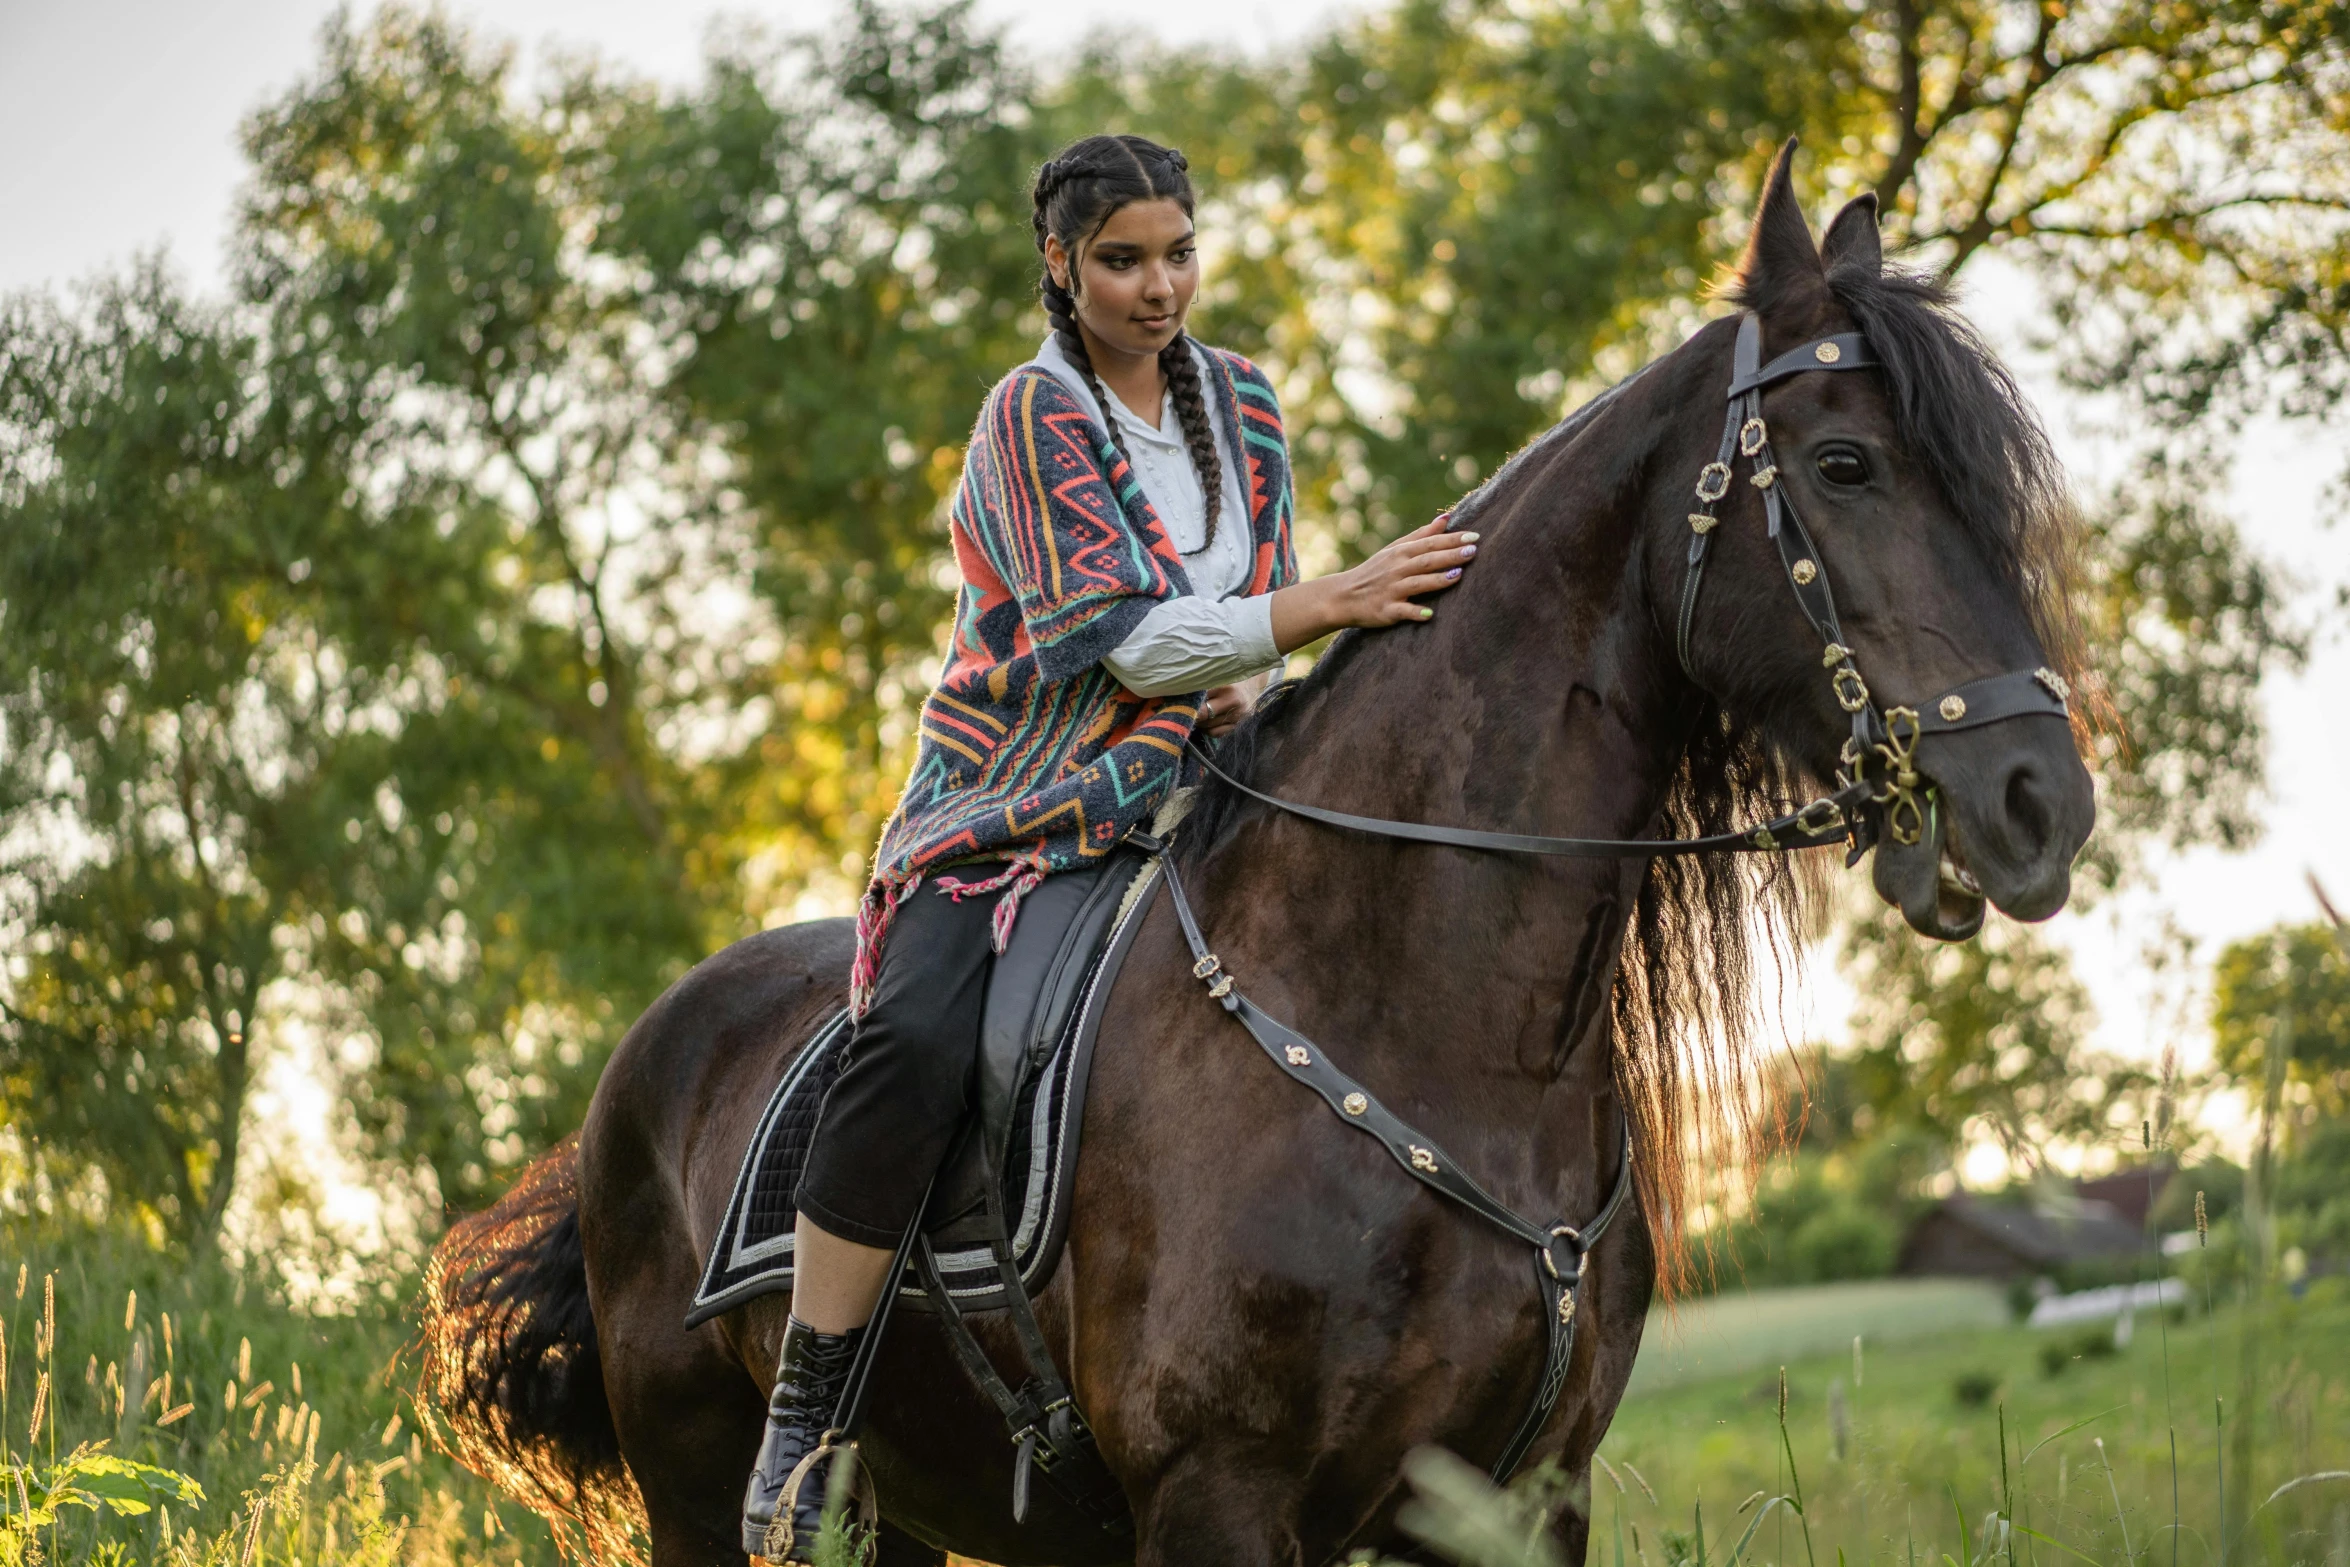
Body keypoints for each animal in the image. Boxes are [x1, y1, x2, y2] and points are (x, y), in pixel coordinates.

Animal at [418, 140, 2096, 1559]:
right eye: (1845, 467)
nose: (2041, 800)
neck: (1428, 1019)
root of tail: (639, 1063)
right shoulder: (1221, 1497)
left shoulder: (1514, 1500)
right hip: (699, 1495)